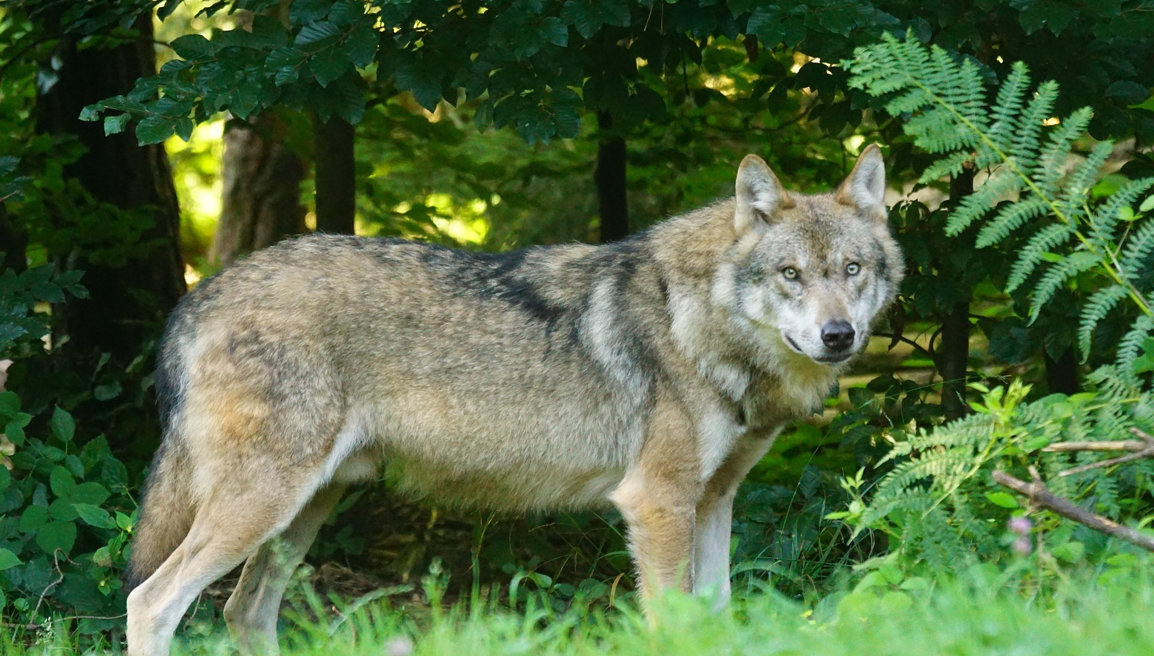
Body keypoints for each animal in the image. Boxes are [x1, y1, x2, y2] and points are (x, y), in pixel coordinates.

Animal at [126, 146, 900, 651]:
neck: (699, 321)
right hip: (263, 507)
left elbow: (716, 618)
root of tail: (199, 296)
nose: (838, 335)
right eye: (791, 274)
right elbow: (673, 625)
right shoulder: (656, 503)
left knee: (245, 614)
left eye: (851, 270)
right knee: (150, 601)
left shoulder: (713, 501)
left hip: (301, 513)